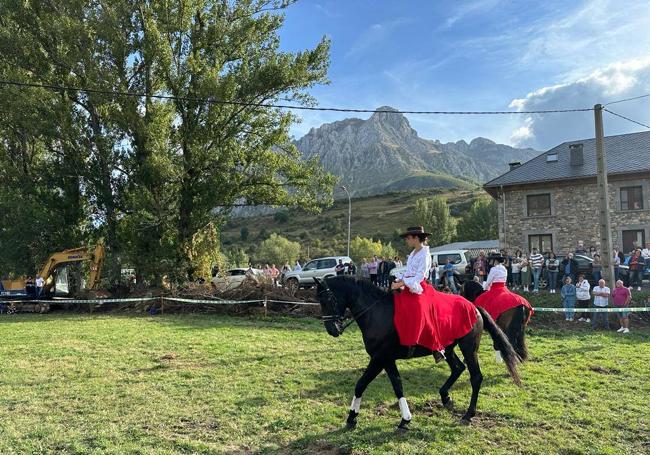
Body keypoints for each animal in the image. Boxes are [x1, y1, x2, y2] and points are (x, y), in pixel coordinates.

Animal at [316, 274, 520, 432]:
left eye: (327, 300)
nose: (332, 330)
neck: (376, 312)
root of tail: (474, 307)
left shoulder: (380, 358)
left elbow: (364, 384)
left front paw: (401, 419)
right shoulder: (386, 359)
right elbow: (393, 385)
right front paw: (354, 418)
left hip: (469, 348)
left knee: (475, 377)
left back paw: (468, 414)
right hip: (448, 348)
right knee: (458, 368)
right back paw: (445, 397)